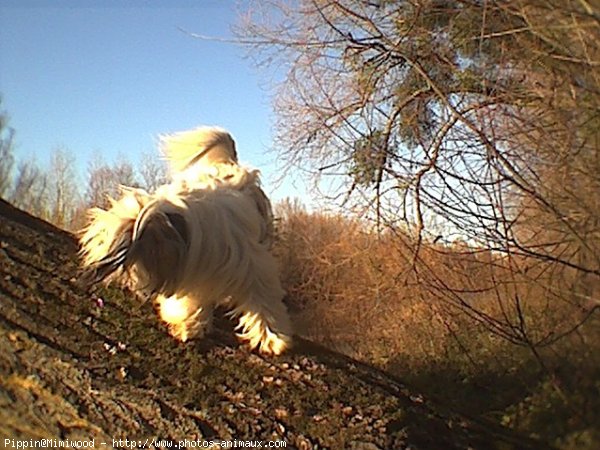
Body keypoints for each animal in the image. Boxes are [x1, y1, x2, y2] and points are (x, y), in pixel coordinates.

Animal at [80, 125, 292, 356]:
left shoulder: (253, 269)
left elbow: (264, 304)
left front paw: (273, 339)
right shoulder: (193, 278)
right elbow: (188, 302)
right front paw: (186, 324)